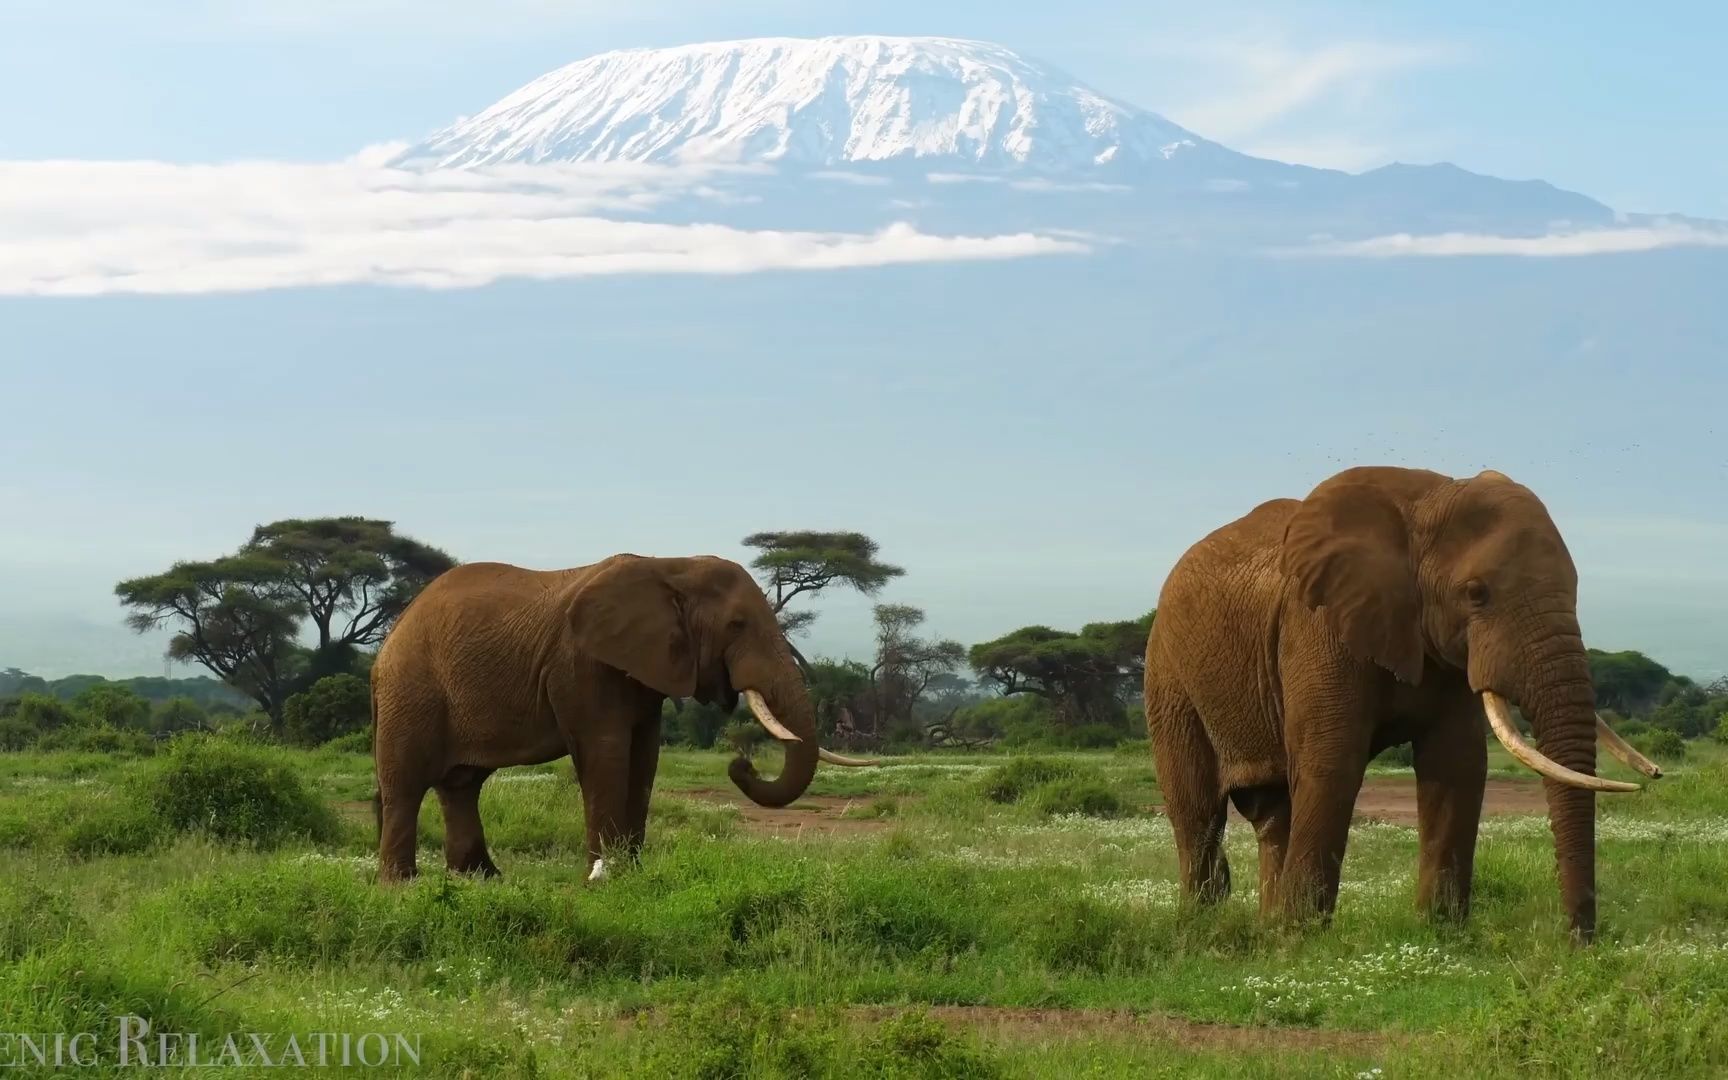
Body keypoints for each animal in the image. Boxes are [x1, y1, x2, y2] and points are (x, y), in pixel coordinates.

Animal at [369, 556, 870, 884]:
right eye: (737, 625)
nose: (740, 763)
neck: (671, 565)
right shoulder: (581, 665)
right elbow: (605, 752)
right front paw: (603, 880)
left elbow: (644, 758)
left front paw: (630, 873)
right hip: (410, 689)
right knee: (407, 785)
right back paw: (402, 885)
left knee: (461, 785)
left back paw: (483, 879)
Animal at [1147, 466, 1658, 940]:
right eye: (1476, 593)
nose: (1577, 942)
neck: (1427, 501)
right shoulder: (1317, 626)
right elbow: (1332, 762)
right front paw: (1302, 940)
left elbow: (1457, 766)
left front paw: (1441, 932)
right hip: (1169, 676)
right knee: (1197, 809)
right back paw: (1204, 926)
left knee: (1271, 815)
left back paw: (1264, 927)